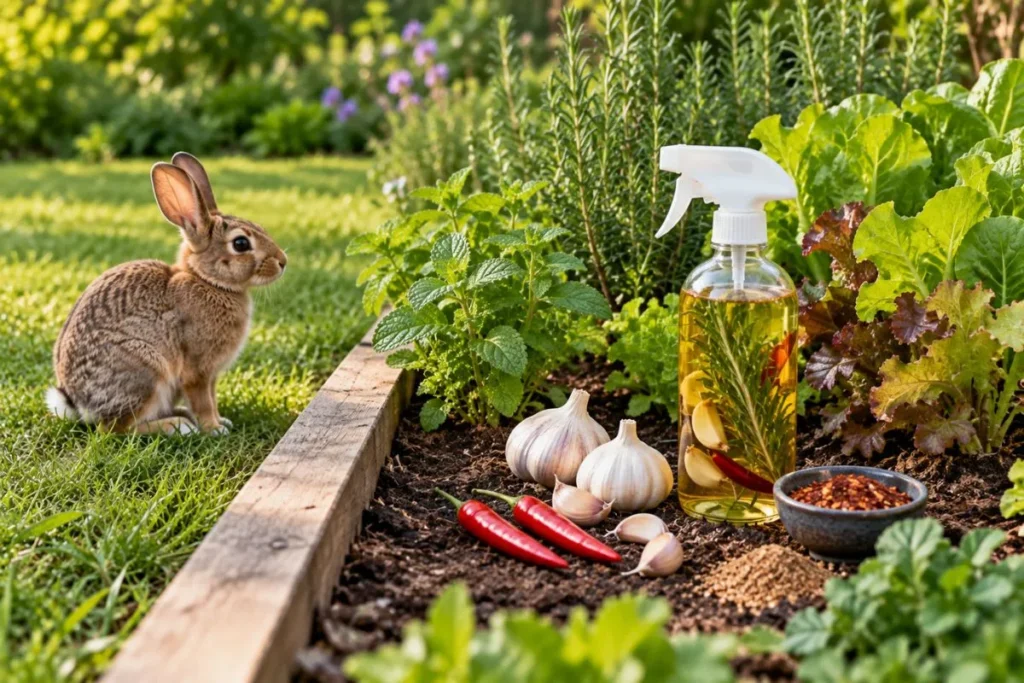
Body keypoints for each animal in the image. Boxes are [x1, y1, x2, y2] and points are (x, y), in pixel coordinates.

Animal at [47, 152, 287, 436]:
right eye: (241, 244)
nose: (283, 262)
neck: (208, 281)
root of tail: (77, 403)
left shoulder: (212, 375)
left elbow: (213, 398)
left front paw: (222, 421)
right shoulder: (197, 370)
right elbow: (203, 401)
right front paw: (213, 429)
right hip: (147, 371)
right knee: (117, 429)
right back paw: (177, 426)